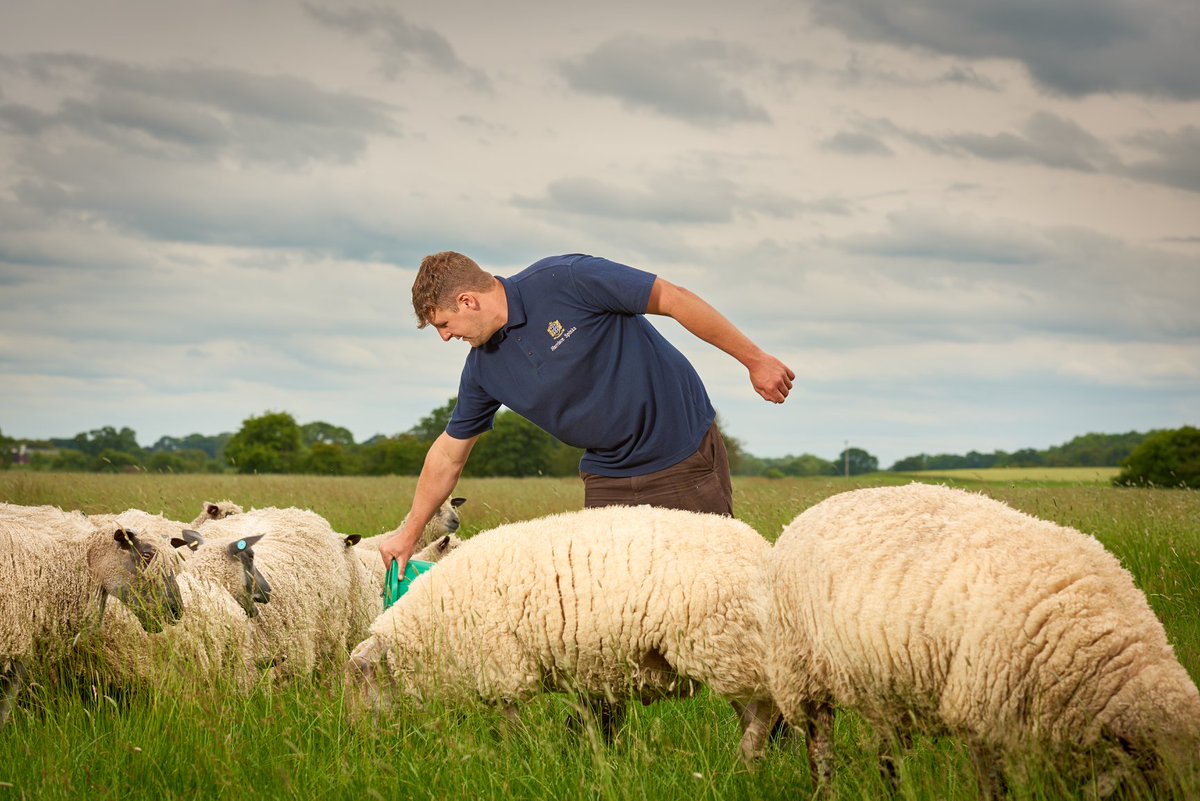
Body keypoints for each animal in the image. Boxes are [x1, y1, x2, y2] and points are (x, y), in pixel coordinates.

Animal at [346, 504, 779, 764]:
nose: (355, 737)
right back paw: (750, 762)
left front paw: (515, 759)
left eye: (359, 682)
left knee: (763, 709)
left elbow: (510, 725)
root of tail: (762, 549)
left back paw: (747, 760)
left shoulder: (501, 669)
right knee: (757, 709)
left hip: (727, 645)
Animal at [764, 482, 1200, 798]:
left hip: (883, 683)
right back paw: (825, 790)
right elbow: (994, 787)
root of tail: (810, 511)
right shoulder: (982, 711)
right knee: (820, 748)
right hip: (799, 671)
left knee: (890, 753)